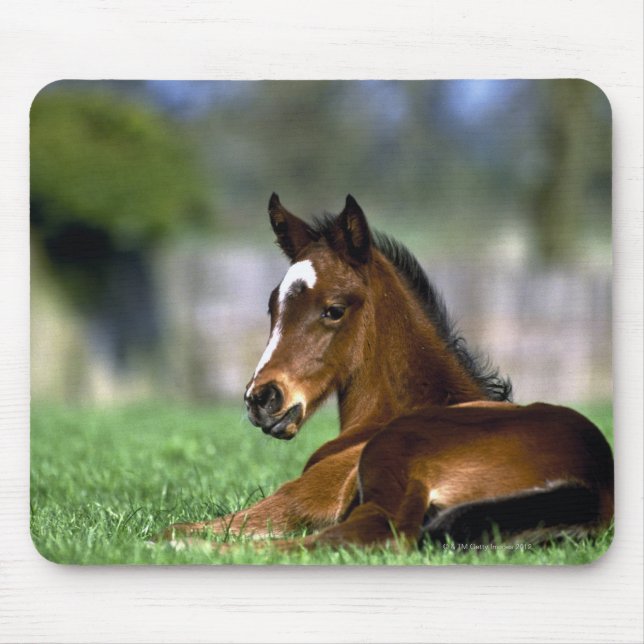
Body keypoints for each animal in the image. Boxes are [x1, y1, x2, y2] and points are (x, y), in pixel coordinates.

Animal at [162, 193, 614, 550]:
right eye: (273, 306)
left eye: (334, 310)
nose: (262, 398)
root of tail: (592, 481)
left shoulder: (305, 496)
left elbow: (176, 527)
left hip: (389, 464)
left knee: (365, 536)